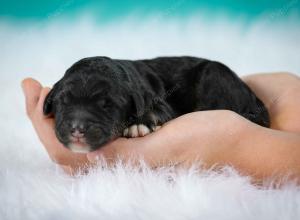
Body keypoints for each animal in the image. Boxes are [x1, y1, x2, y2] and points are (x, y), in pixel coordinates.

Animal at [44, 56, 270, 153]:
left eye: (106, 105)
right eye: (63, 102)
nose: (77, 128)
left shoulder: (160, 103)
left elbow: (153, 111)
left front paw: (137, 124)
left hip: (215, 74)